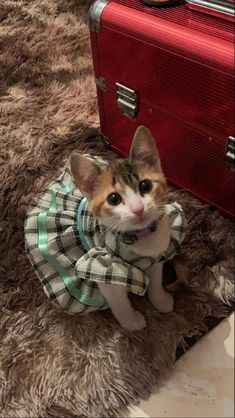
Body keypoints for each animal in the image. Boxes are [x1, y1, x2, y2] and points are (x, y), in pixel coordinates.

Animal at [23, 125, 185, 332]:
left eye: (145, 186)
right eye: (113, 199)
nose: (138, 209)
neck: (141, 239)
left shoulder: (156, 255)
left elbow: (155, 280)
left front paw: (161, 300)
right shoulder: (104, 266)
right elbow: (119, 301)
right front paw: (132, 322)